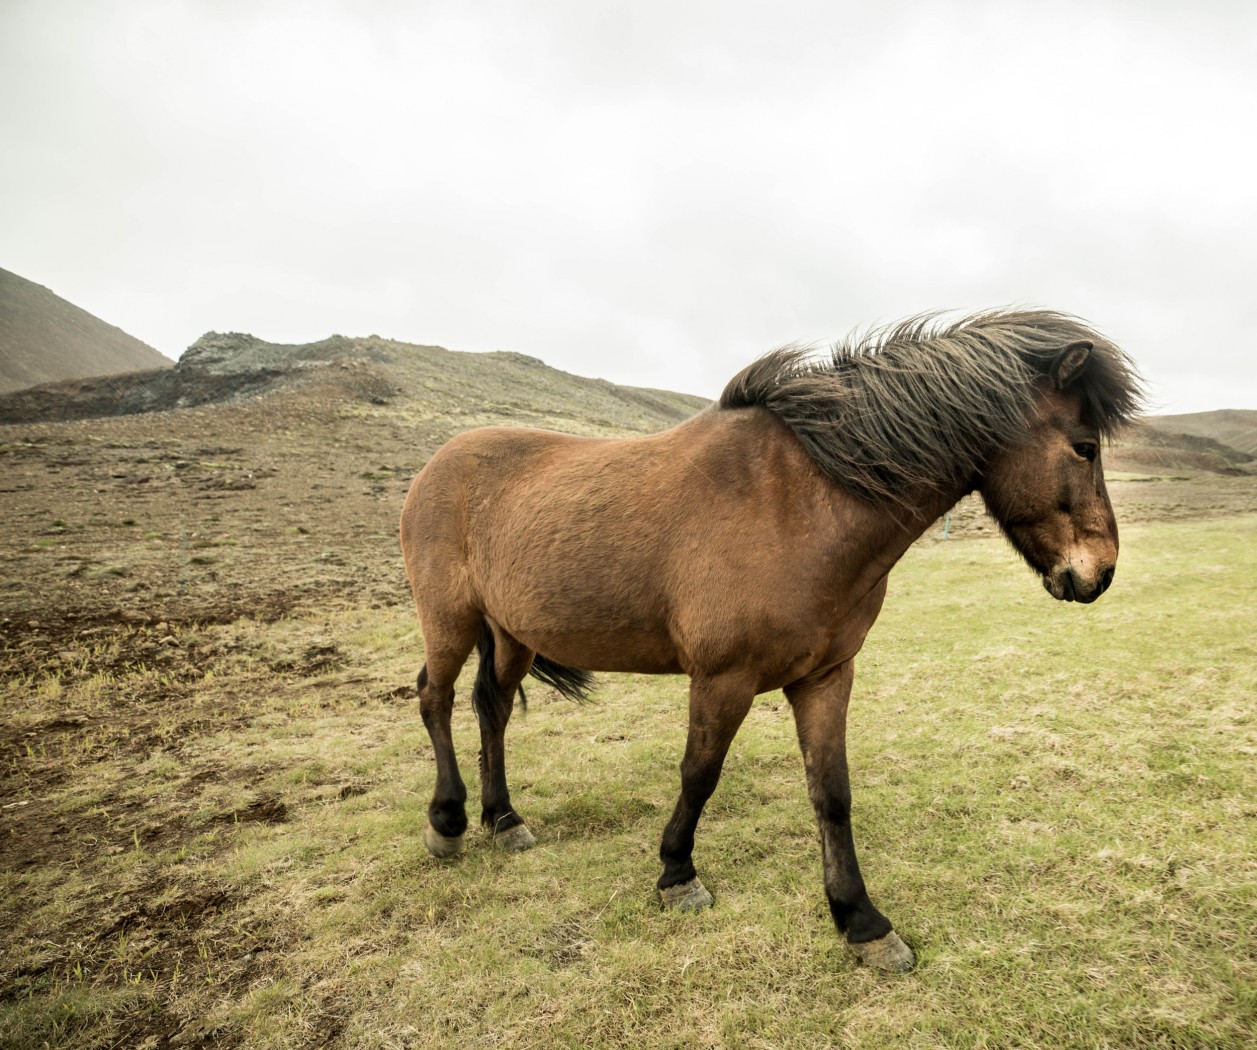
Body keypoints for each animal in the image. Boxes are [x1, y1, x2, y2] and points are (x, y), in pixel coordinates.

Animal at [397, 310, 1146, 975]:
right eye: (1083, 447)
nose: (1101, 573)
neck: (801, 504)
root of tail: (436, 464)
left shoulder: (825, 676)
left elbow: (831, 793)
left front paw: (862, 923)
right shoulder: (721, 679)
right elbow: (699, 774)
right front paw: (677, 875)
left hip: (510, 633)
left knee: (492, 709)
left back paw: (503, 819)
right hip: (450, 619)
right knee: (434, 699)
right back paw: (447, 823)